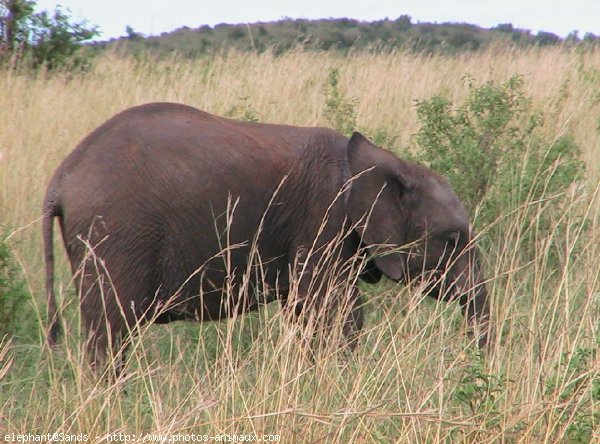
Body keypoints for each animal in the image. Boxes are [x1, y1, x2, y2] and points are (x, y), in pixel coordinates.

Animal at [43, 101, 492, 368]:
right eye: (453, 238)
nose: (474, 364)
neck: (384, 162)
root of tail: (60, 179)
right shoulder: (322, 221)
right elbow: (337, 313)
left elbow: (308, 312)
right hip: (114, 235)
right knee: (112, 331)